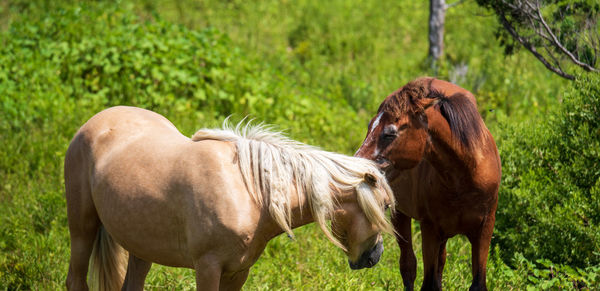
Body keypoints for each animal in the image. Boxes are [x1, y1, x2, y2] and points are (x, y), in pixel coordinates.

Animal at [65, 107, 396, 291]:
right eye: (383, 206)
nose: (375, 256)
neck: (250, 195)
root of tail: (96, 122)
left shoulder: (238, 272)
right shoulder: (208, 268)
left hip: (141, 247)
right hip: (82, 229)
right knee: (75, 280)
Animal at [356, 77, 502, 291]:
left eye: (390, 134)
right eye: (369, 126)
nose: (357, 163)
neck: (465, 177)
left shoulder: (485, 228)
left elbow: (477, 284)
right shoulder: (430, 229)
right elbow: (427, 282)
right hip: (401, 214)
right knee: (408, 266)